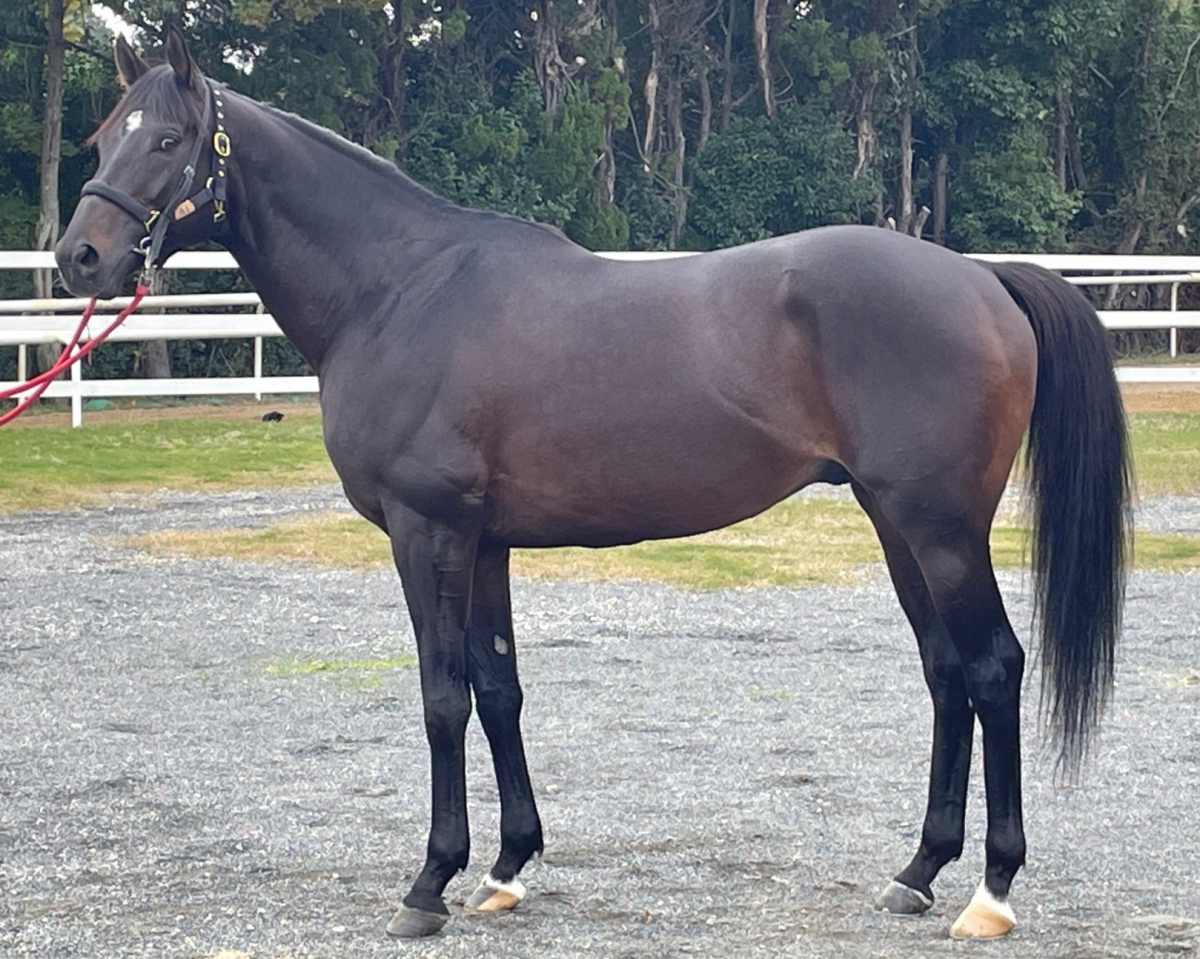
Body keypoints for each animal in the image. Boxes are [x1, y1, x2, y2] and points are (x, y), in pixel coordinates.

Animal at [56, 29, 1131, 942]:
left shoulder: (426, 531)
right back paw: (917, 871)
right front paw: (504, 870)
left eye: (170, 139)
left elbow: (441, 695)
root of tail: (979, 276)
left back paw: (990, 892)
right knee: (946, 673)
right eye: (105, 135)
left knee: (992, 669)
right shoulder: (483, 541)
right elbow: (497, 689)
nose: (80, 257)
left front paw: (428, 883)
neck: (400, 290)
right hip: (895, 522)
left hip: (940, 527)